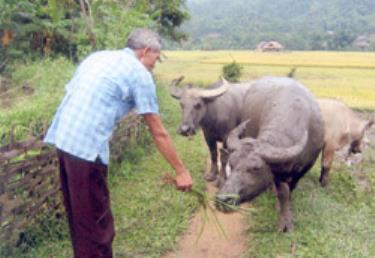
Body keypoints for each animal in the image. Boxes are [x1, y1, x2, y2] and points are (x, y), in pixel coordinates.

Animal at [214, 77, 326, 233]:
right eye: (232, 163)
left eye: (256, 168)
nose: (223, 200)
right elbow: (282, 193)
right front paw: (283, 219)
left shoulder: (304, 168)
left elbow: (289, 191)